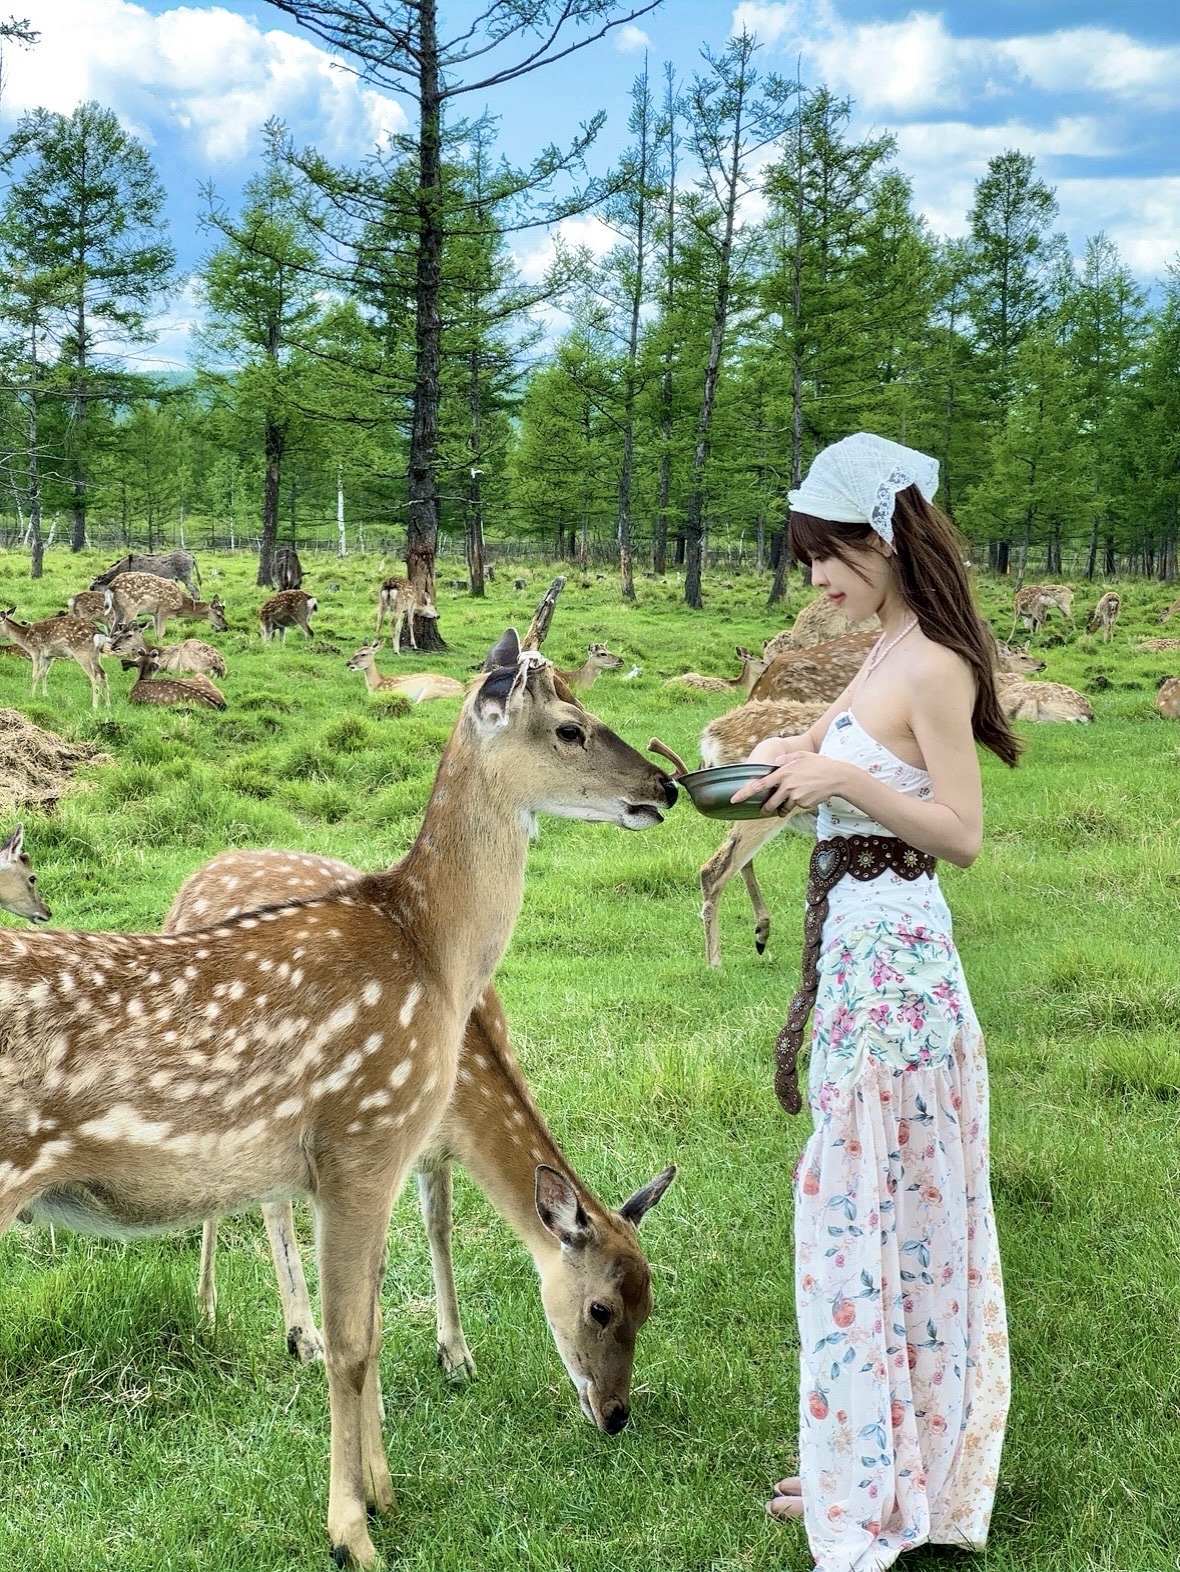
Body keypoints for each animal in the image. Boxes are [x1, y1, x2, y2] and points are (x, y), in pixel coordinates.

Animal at [165, 848, 674, 1412]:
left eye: (650, 1305)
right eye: (599, 1309)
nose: (615, 1414)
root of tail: (186, 892)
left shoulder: (436, 1150)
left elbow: (439, 1228)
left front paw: (456, 1357)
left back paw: (226, 1314)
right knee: (263, 1201)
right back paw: (285, 1333)